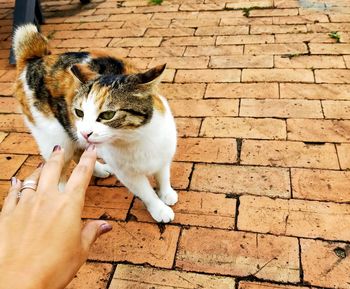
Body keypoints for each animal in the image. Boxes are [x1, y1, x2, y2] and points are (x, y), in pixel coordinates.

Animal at [13, 24, 178, 223]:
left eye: (108, 115)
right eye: (79, 112)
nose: (85, 132)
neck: (137, 138)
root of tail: (35, 58)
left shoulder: (164, 155)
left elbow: (164, 176)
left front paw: (167, 193)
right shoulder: (128, 174)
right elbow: (146, 193)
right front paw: (159, 209)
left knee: (79, 151)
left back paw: (99, 170)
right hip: (57, 137)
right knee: (61, 167)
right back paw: (61, 195)